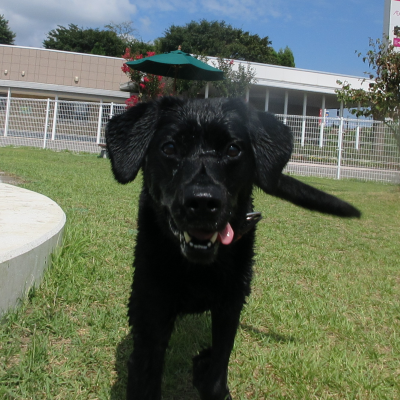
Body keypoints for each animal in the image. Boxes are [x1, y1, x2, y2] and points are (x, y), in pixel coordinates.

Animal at [106, 97, 360, 400]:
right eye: (169, 148)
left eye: (232, 149)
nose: (203, 202)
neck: (198, 270)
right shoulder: (150, 311)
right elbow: (145, 376)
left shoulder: (231, 306)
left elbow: (217, 371)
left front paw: (208, 375)